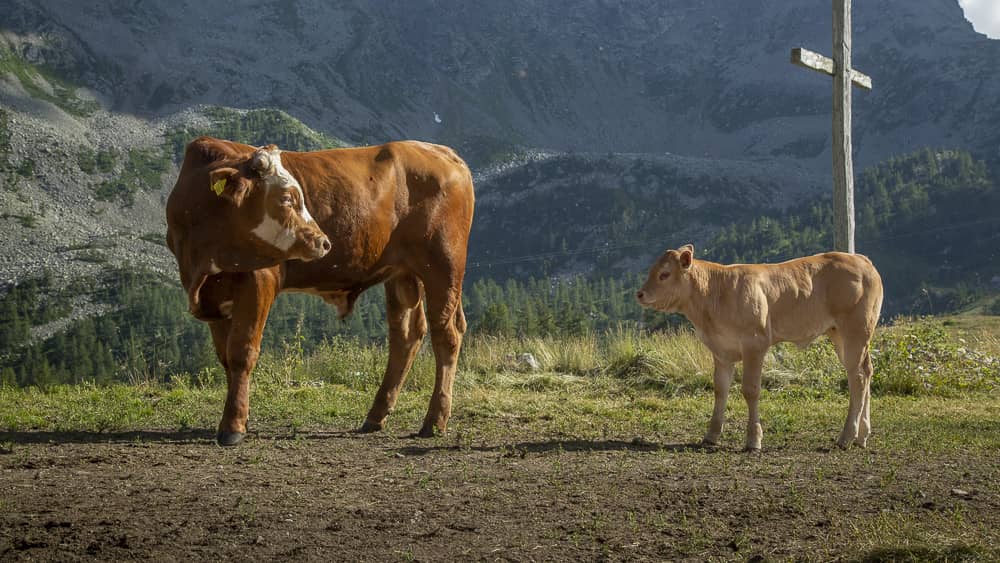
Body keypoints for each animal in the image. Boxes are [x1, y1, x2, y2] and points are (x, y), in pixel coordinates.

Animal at [167, 137, 472, 446]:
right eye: (287, 198)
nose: (323, 241)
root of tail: (440, 151)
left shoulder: (259, 280)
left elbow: (242, 352)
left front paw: (233, 426)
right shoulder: (214, 297)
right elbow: (225, 358)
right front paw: (238, 415)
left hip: (443, 265)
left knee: (446, 334)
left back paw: (435, 420)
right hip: (402, 273)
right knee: (406, 335)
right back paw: (376, 416)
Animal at [640, 247, 884, 454]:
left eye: (664, 274)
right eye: (651, 270)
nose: (640, 294)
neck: (716, 294)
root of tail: (861, 260)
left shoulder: (755, 344)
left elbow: (751, 390)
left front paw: (753, 440)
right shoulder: (721, 350)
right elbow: (720, 389)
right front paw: (711, 436)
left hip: (855, 331)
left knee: (858, 378)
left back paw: (847, 437)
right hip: (840, 334)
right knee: (865, 372)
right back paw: (862, 436)